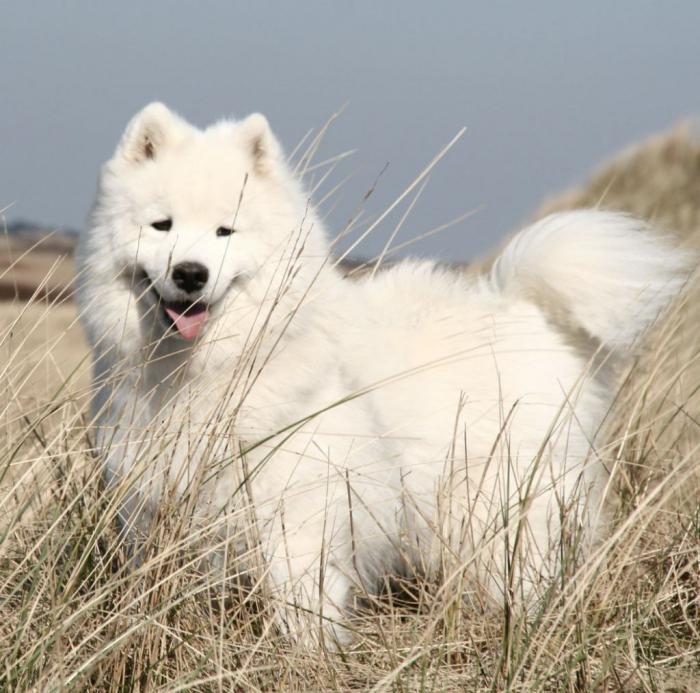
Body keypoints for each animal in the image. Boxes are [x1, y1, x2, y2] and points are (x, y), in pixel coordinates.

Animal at [75, 102, 688, 644]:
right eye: (161, 226)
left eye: (226, 231)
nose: (190, 273)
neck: (210, 370)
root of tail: (528, 311)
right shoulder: (155, 511)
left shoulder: (298, 520)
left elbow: (302, 607)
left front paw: (312, 659)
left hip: (503, 506)